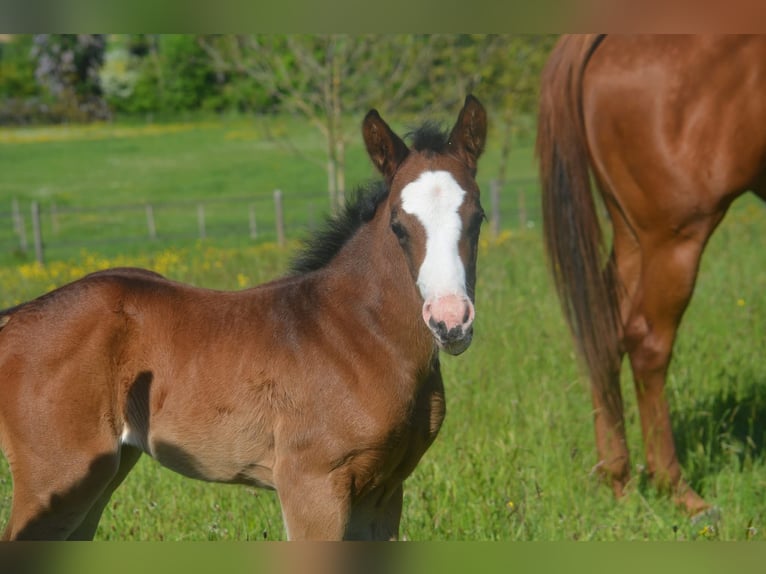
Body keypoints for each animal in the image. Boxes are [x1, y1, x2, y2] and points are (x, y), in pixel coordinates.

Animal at [0, 95, 487, 540]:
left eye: (478, 217)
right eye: (398, 224)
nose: (450, 321)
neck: (361, 334)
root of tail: (14, 317)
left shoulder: (384, 491)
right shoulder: (311, 484)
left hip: (98, 477)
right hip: (55, 477)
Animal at [537, 34, 766, 514]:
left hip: (630, 234)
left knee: (605, 333)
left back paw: (617, 479)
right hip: (675, 238)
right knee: (648, 341)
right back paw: (677, 490)